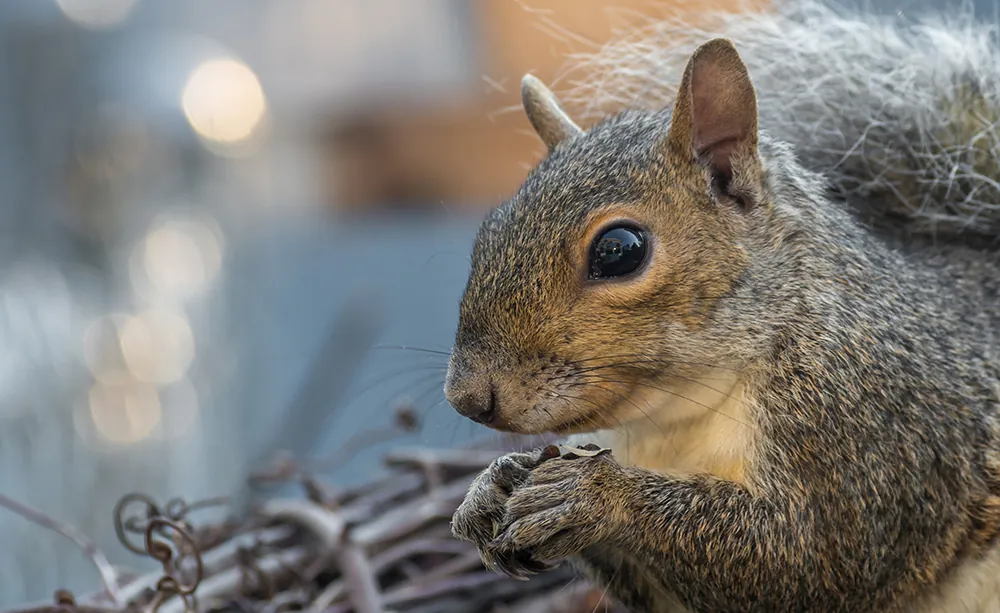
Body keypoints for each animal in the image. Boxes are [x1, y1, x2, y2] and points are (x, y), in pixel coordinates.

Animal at [444, 12, 1000, 613]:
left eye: (618, 251)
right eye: (488, 231)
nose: (467, 398)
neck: (679, 413)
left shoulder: (864, 433)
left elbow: (807, 558)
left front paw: (598, 496)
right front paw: (491, 486)